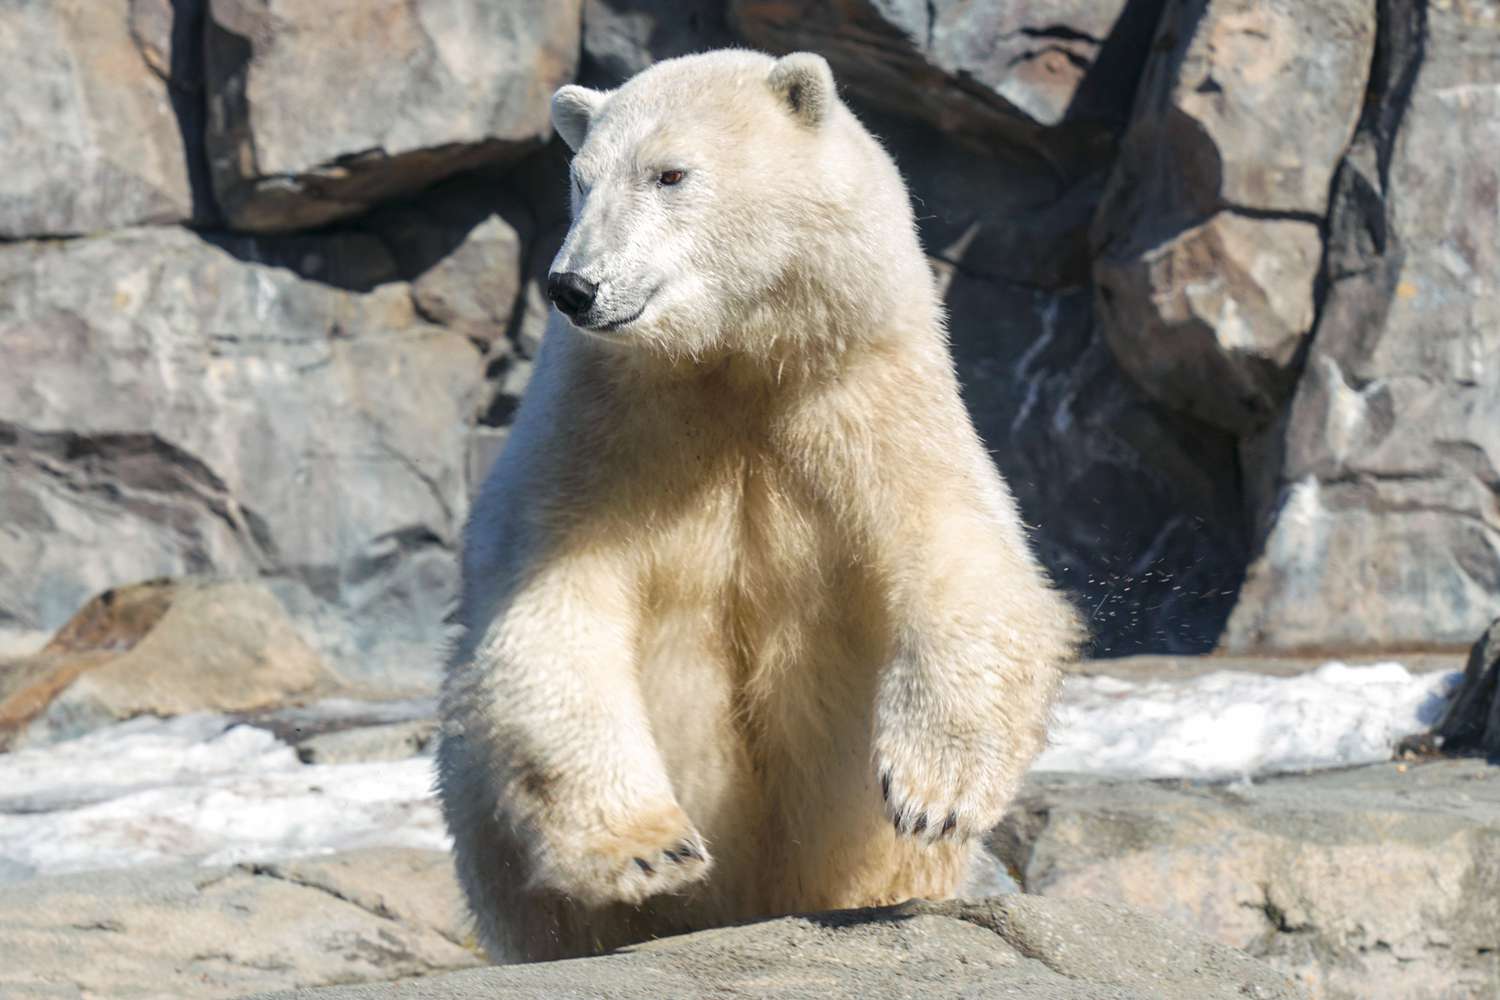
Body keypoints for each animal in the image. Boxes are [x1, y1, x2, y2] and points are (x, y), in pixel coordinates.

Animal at [435, 46, 1080, 959]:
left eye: (669, 172)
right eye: (580, 179)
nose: (574, 285)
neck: (733, 365)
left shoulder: (867, 403)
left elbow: (964, 561)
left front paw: (932, 794)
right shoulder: (601, 430)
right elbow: (552, 612)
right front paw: (649, 848)